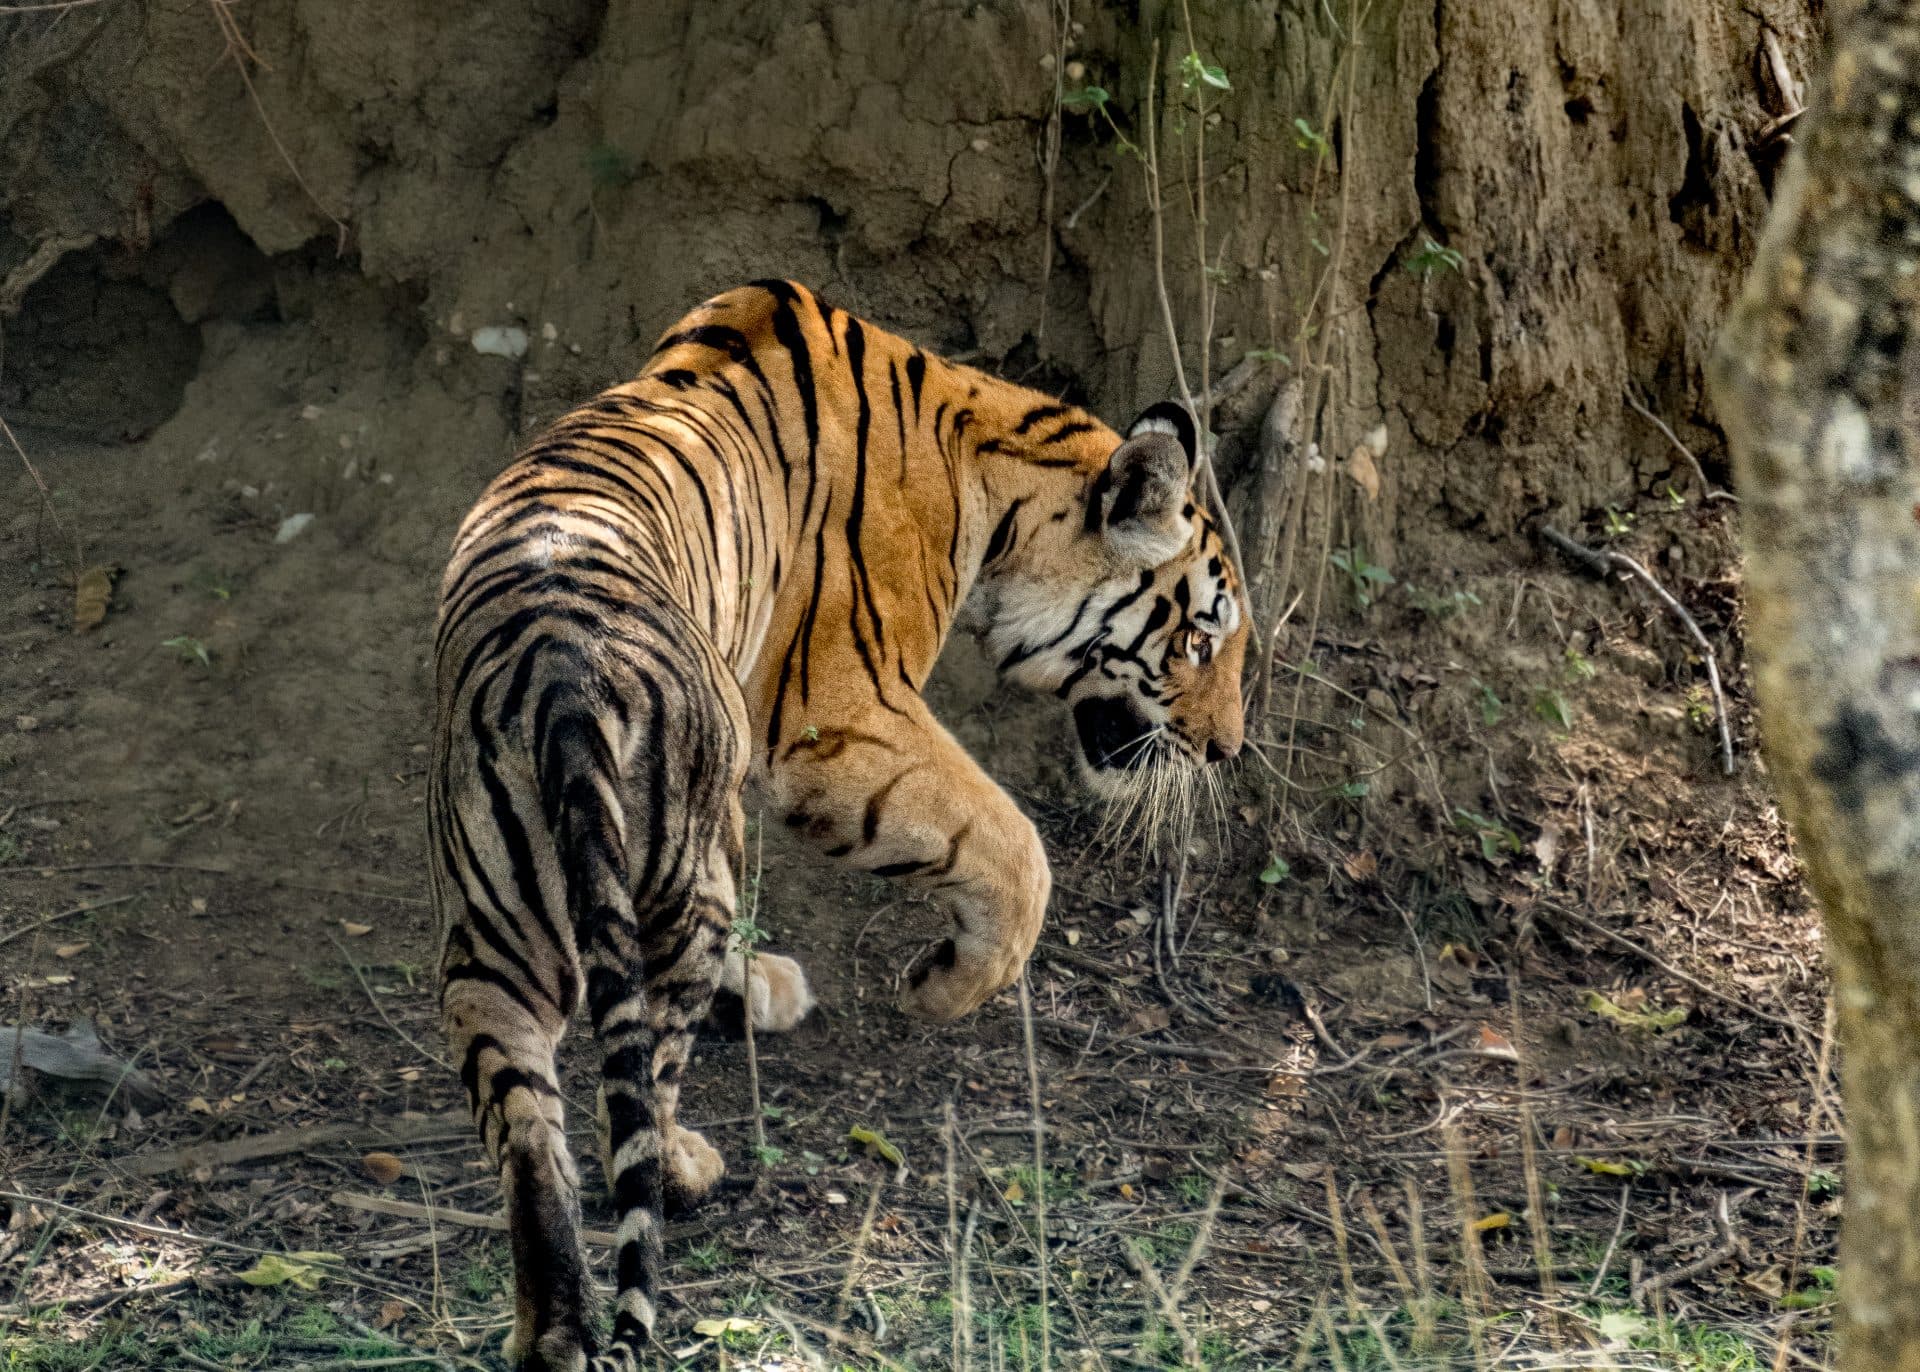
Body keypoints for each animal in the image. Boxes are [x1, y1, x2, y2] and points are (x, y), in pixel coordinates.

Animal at [428, 279, 1247, 1370]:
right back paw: (686, 1164)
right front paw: (943, 985)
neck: (991, 463)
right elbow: (1011, 847)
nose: (1229, 747)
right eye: (1200, 638)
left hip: (501, 918)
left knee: (530, 1120)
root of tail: (562, 665)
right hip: (669, 879)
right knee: (642, 1078)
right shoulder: (840, 713)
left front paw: (771, 985)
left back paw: (553, 1328)